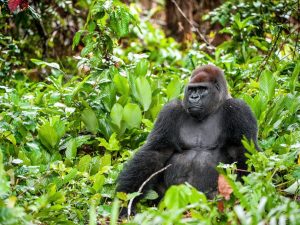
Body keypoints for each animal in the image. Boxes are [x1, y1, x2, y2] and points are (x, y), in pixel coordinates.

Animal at [116, 64, 258, 201]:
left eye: (202, 89)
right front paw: (126, 197)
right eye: (191, 89)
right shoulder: (170, 110)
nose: (193, 97)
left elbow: (243, 150)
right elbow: (156, 152)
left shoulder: (239, 109)